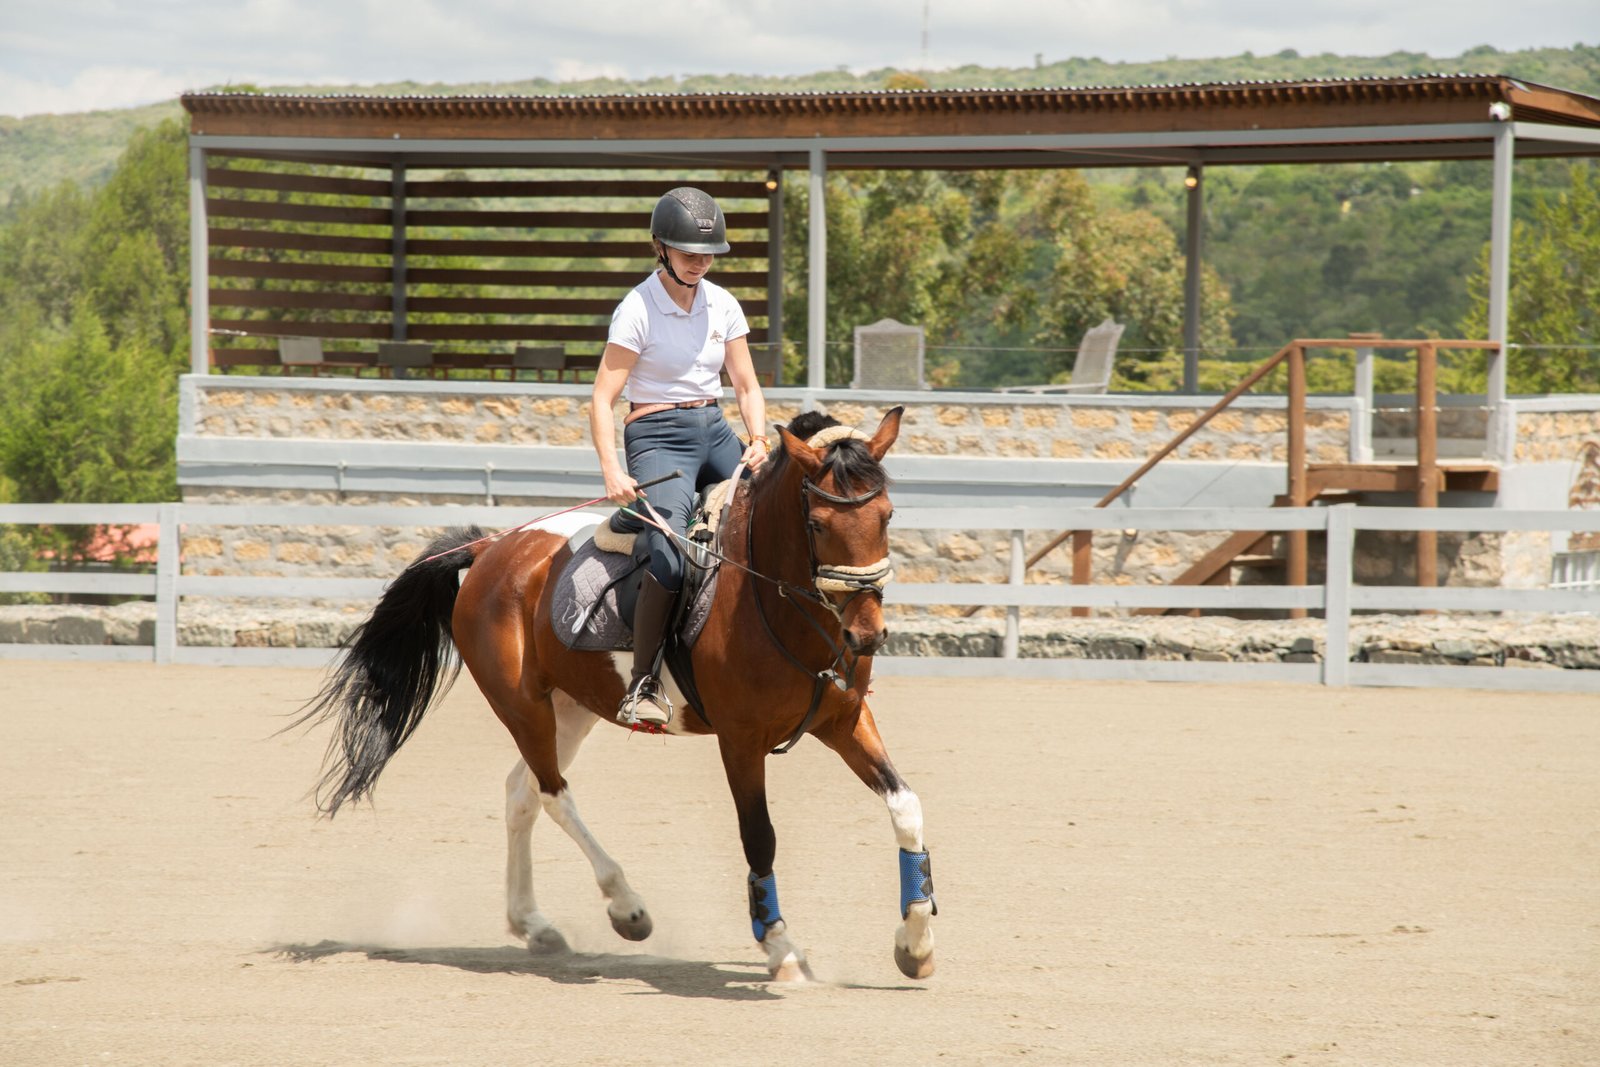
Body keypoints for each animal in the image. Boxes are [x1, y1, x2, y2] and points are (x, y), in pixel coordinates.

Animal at [293, 406, 937, 981]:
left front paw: (916, 942)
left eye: (887, 515)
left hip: (573, 706)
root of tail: (490, 550)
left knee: (522, 792)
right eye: (819, 526)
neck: (775, 600)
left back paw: (534, 925)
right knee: (553, 793)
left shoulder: (844, 722)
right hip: (522, 706)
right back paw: (626, 907)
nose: (866, 635)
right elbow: (760, 839)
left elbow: (906, 806)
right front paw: (781, 950)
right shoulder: (740, 742)